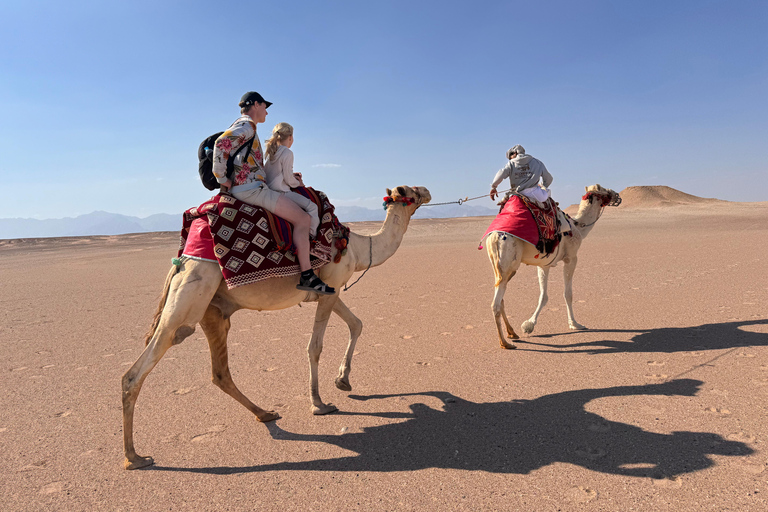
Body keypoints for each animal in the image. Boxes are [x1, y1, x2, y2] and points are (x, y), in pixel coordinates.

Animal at [122, 185, 431, 469]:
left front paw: (343, 380)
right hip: (191, 295)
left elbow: (357, 324)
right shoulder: (329, 286)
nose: (427, 191)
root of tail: (180, 262)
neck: (356, 248)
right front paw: (319, 404)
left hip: (213, 311)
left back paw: (266, 414)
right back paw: (135, 457)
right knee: (137, 371)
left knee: (220, 373)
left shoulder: (330, 292)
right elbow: (314, 347)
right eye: (411, 192)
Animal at [486, 184, 621, 349]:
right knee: (495, 304)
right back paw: (505, 343)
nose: (617, 195)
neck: (577, 227)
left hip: (501, 268)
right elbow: (568, 294)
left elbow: (543, 296)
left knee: (501, 299)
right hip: (508, 263)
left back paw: (512, 333)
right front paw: (575, 324)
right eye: (605, 192)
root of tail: (494, 238)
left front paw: (529, 325)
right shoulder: (571, 258)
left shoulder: (544, 264)